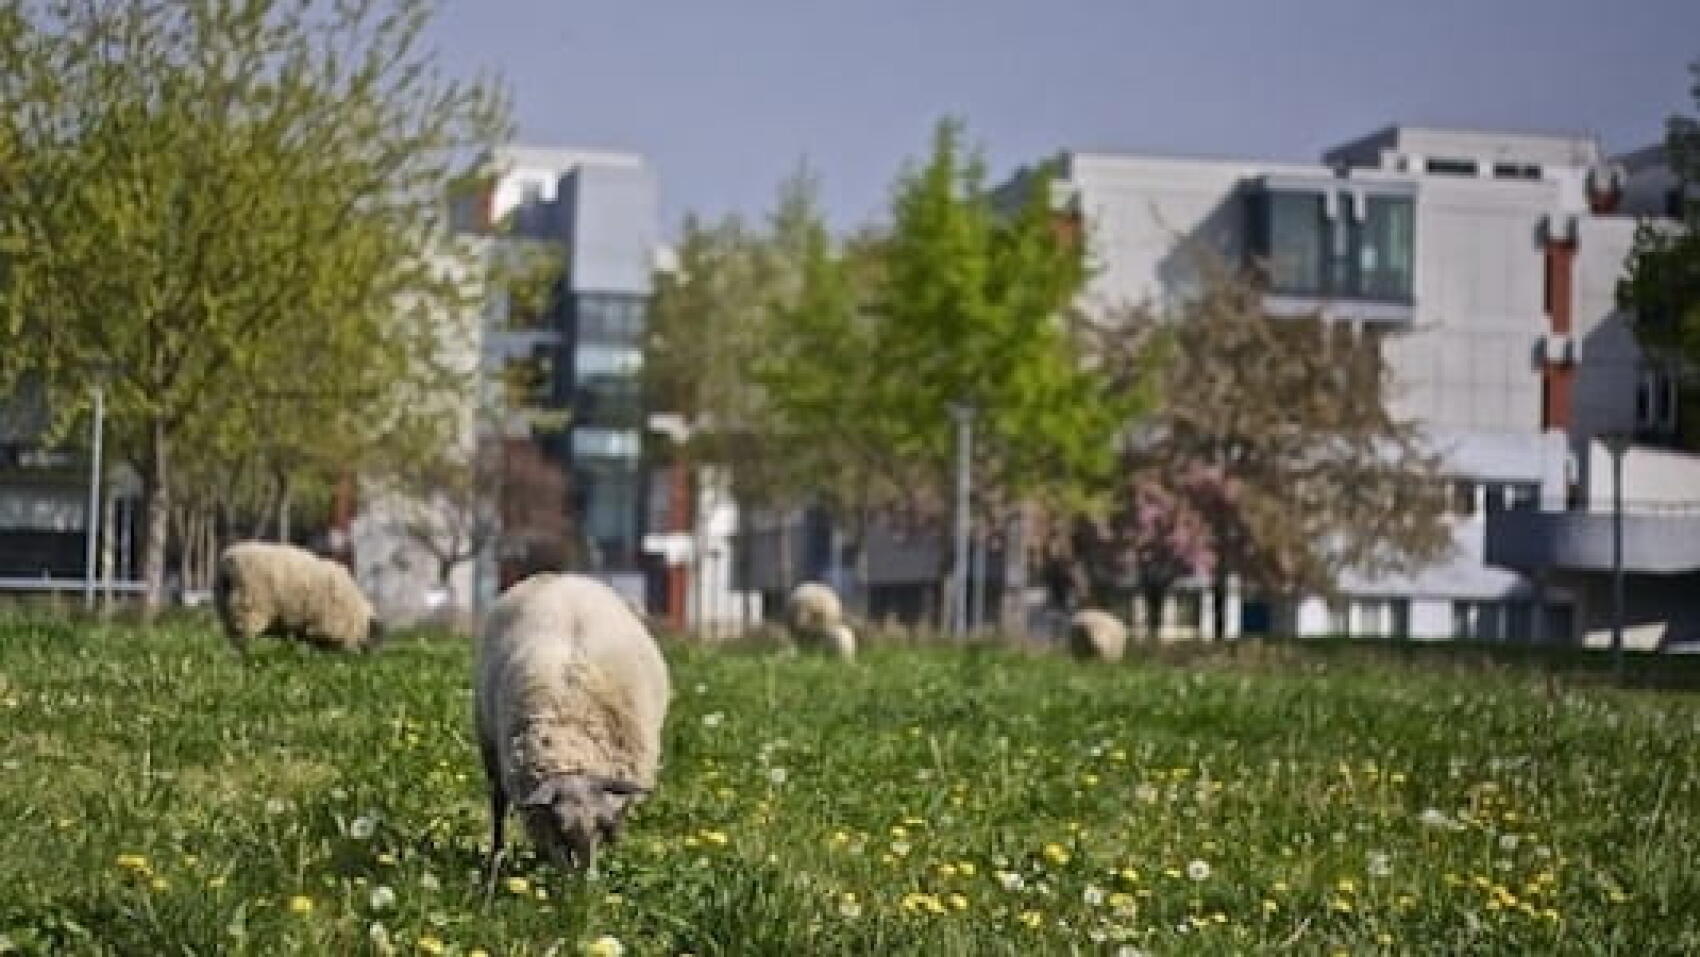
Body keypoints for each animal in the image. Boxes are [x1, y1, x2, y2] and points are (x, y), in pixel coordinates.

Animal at [214, 541, 382, 654]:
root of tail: (228, 562)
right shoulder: (327, 626)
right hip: (250, 607)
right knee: (243, 638)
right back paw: (248, 654)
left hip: (228, 609)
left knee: (233, 636)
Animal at [474, 573, 671, 884]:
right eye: (561, 826)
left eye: (600, 825)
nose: (586, 885)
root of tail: (563, 577)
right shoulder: (543, 817)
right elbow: (554, 850)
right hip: (488, 742)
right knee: (498, 805)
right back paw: (497, 857)